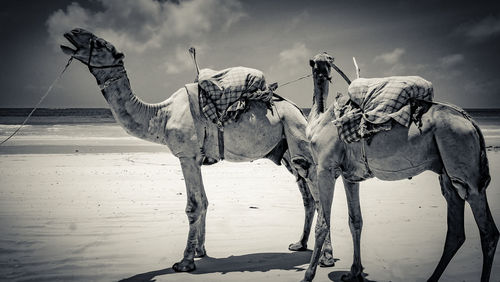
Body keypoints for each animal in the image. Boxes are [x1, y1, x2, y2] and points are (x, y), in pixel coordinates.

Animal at [60, 28, 336, 274]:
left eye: (102, 43)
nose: (72, 33)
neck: (161, 114)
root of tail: (300, 111)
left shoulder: (186, 156)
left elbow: (193, 205)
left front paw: (184, 262)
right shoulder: (196, 157)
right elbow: (203, 201)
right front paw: (200, 251)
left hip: (299, 141)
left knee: (319, 196)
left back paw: (326, 258)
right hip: (286, 152)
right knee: (307, 196)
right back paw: (299, 245)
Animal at [300, 53, 500, 282]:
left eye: (328, 60)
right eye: (315, 63)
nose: (323, 71)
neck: (319, 120)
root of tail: (470, 121)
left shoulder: (325, 168)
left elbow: (322, 225)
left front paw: (308, 275)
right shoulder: (350, 176)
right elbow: (355, 221)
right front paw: (354, 273)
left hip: (465, 166)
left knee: (488, 231)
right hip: (450, 175)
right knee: (456, 231)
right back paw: (431, 278)